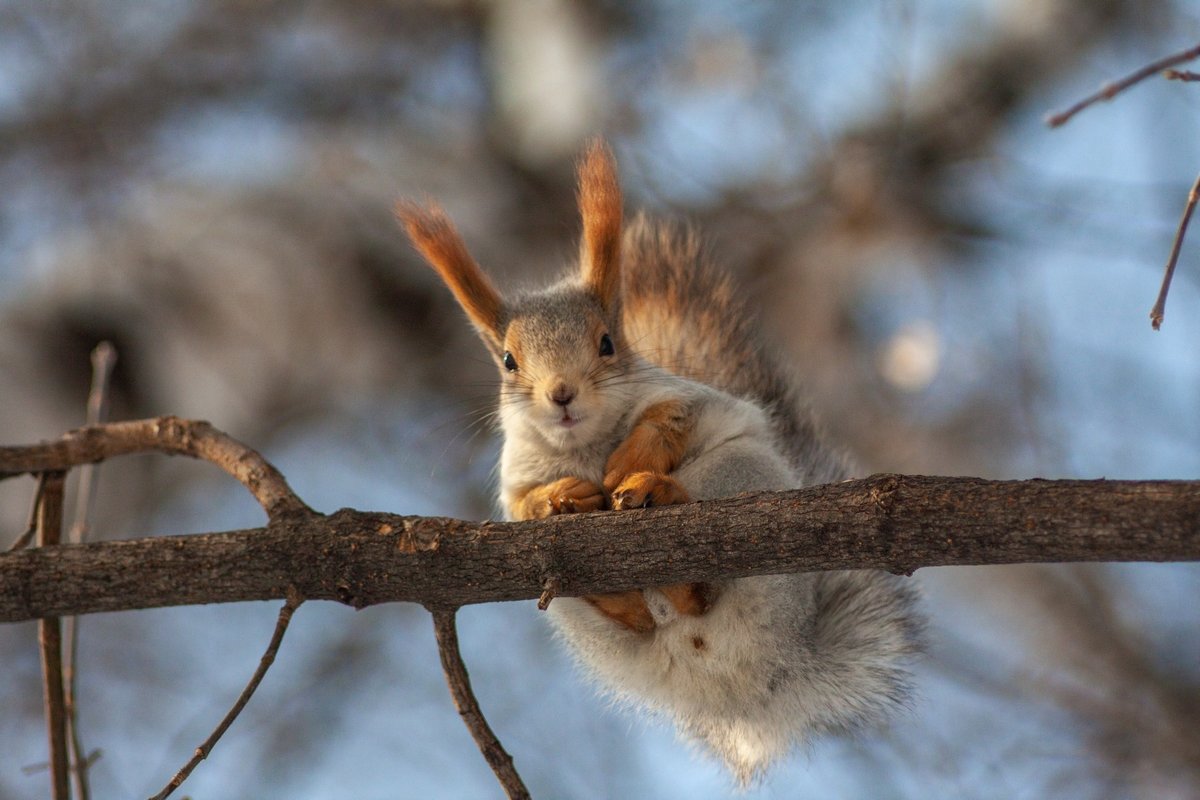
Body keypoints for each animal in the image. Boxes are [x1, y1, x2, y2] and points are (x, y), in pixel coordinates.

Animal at [398, 139, 921, 786]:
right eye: (508, 361)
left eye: (606, 343)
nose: (561, 394)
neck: (587, 445)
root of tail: (753, 679)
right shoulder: (515, 473)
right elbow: (523, 505)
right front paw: (561, 498)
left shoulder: (693, 397)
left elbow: (673, 416)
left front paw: (630, 461)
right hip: (572, 617)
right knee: (639, 620)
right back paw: (624, 597)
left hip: (740, 481)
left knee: (703, 577)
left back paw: (659, 501)